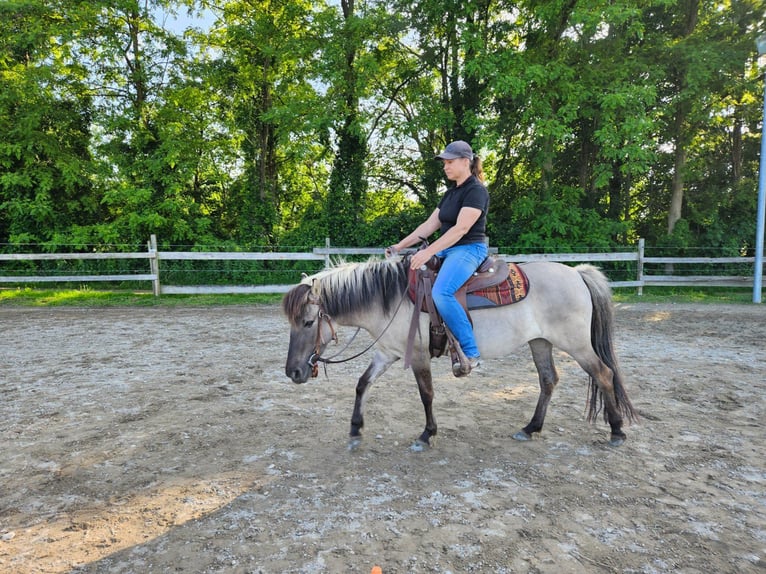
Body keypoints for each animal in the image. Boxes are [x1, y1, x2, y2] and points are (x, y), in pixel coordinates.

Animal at [280, 255, 640, 450]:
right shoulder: (386, 353)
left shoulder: (418, 355)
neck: (391, 297)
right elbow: (361, 384)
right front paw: (356, 429)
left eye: (309, 322)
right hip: (541, 342)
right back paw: (530, 428)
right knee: (549, 380)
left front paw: (427, 435)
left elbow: (426, 394)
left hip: (576, 343)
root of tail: (577, 273)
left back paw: (617, 430)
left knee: (604, 373)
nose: (293, 372)